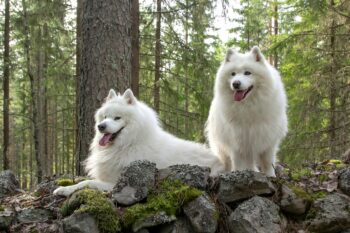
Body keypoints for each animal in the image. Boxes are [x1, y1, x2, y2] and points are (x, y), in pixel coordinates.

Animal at [54, 88, 224, 196]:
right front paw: (64, 189)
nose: (100, 126)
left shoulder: (114, 183)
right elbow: (82, 182)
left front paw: (66, 190)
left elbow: (87, 183)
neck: (130, 144)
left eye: (117, 118)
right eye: (105, 117)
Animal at [205, 46, 288, 177]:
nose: (235, 83)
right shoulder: (238, 142)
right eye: (233, 74)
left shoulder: (268, 141)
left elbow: (267, 163)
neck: (248, 106)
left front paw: (271, 176)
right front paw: (238, 173)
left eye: (248, 73)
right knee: (227, 163)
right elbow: (239, 164)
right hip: (222, 147)